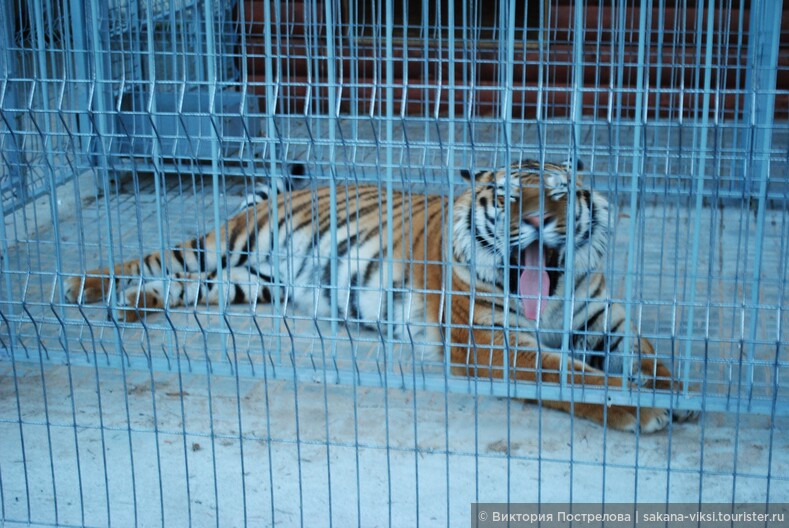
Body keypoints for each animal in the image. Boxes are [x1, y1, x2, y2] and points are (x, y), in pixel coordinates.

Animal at [64, 159, 700, 432]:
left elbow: (645, 352)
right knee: (152, 260)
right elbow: (572, 375)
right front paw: (643, 409)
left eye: (562, 195)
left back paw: (132, 305)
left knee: (179, 287)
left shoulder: (603, 320)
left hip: (248, 283)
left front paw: (678, 392)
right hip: (220, 246)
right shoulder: (491, 343)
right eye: (511, 198)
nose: (540, 220)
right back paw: (81, 285)